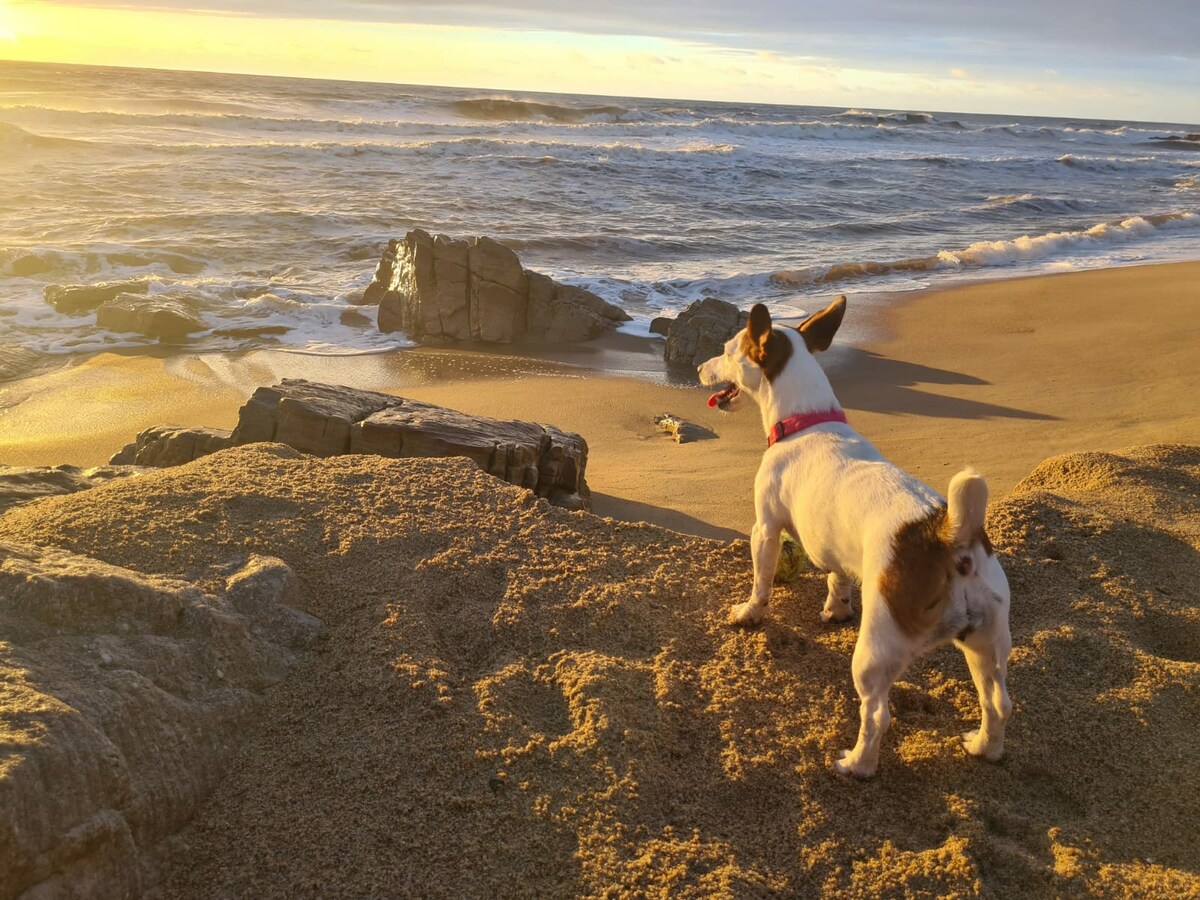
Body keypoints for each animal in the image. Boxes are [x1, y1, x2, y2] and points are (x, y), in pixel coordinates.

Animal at [700, 300, 1008, 777]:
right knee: (996, 701)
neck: (807, 420)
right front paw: (836, 608)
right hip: (986, 643)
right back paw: (983, 747)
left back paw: (857, 764)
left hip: (876, 650)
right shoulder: (835, 549)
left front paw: (749, 612)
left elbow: (762, 580)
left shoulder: (764, 528)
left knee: (878, 713)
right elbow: (837, 576)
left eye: (727, 351)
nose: (699, 368)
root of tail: (948, 535)